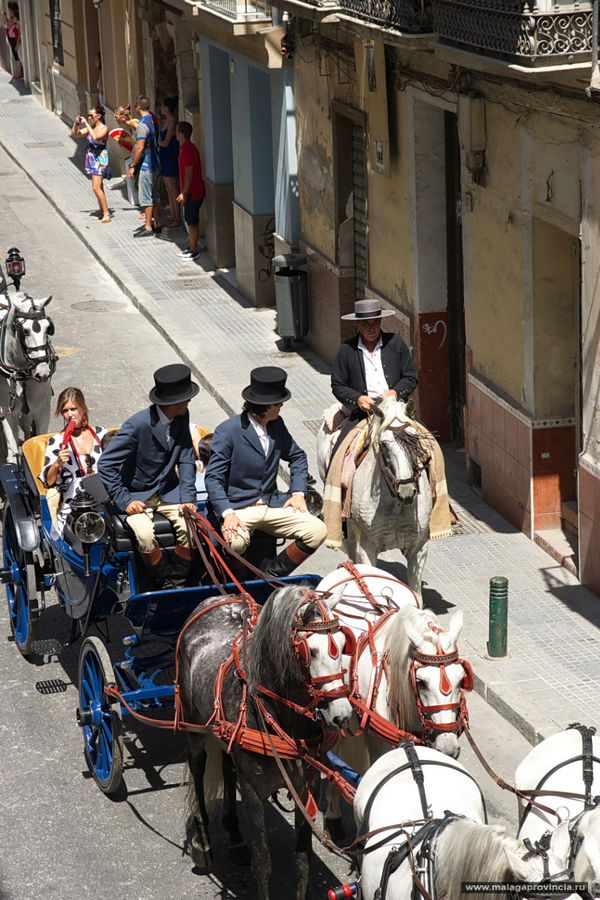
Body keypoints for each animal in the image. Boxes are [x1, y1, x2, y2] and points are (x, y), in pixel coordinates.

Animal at [316, 398, 434, 600]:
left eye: (414, 439)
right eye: (384, 445)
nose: (407, 491)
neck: (396, 505)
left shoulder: (419, 548)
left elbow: (416, 594)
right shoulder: (368, 547)